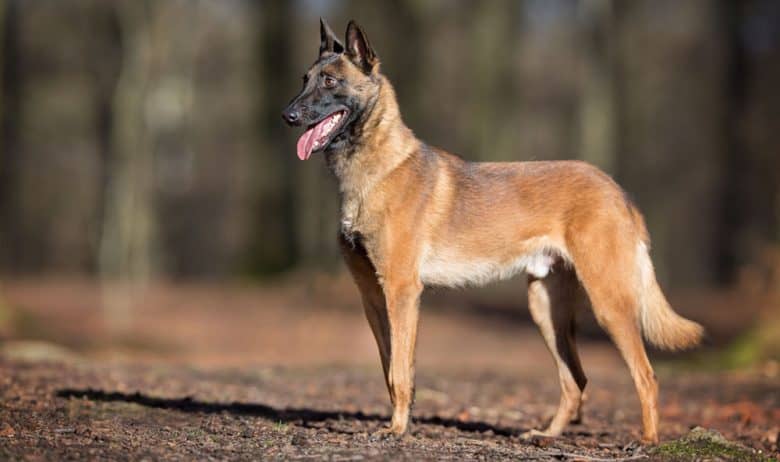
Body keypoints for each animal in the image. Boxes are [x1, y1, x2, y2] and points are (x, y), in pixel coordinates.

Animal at [284, 18, 704, 444]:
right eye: (305, 79)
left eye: (331, 81)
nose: (288, 115)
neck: (375, 170)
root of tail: (619, 192)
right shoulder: (372, 296)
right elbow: (390, 370)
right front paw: (398, 422)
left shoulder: (402, 292)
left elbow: (400, 372)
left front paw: (398, 429)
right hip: (545, 307)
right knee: (576, 381)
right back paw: (546, 435)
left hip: (609, 304)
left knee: (645, 375)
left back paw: (647, 441)